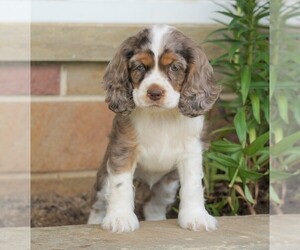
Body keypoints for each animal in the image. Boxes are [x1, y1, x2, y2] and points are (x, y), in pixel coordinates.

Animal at [86, 24, 220, 232]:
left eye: (174, 67)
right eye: (139, 66)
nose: (154, 92)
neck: (160, 116)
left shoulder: (191, 150)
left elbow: (193, 185)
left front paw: (196, 217)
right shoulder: (123, 148)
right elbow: (121, 185)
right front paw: (120, 218)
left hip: (167, 185)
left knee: (154, 205)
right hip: (103, 180)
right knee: (98, 204)